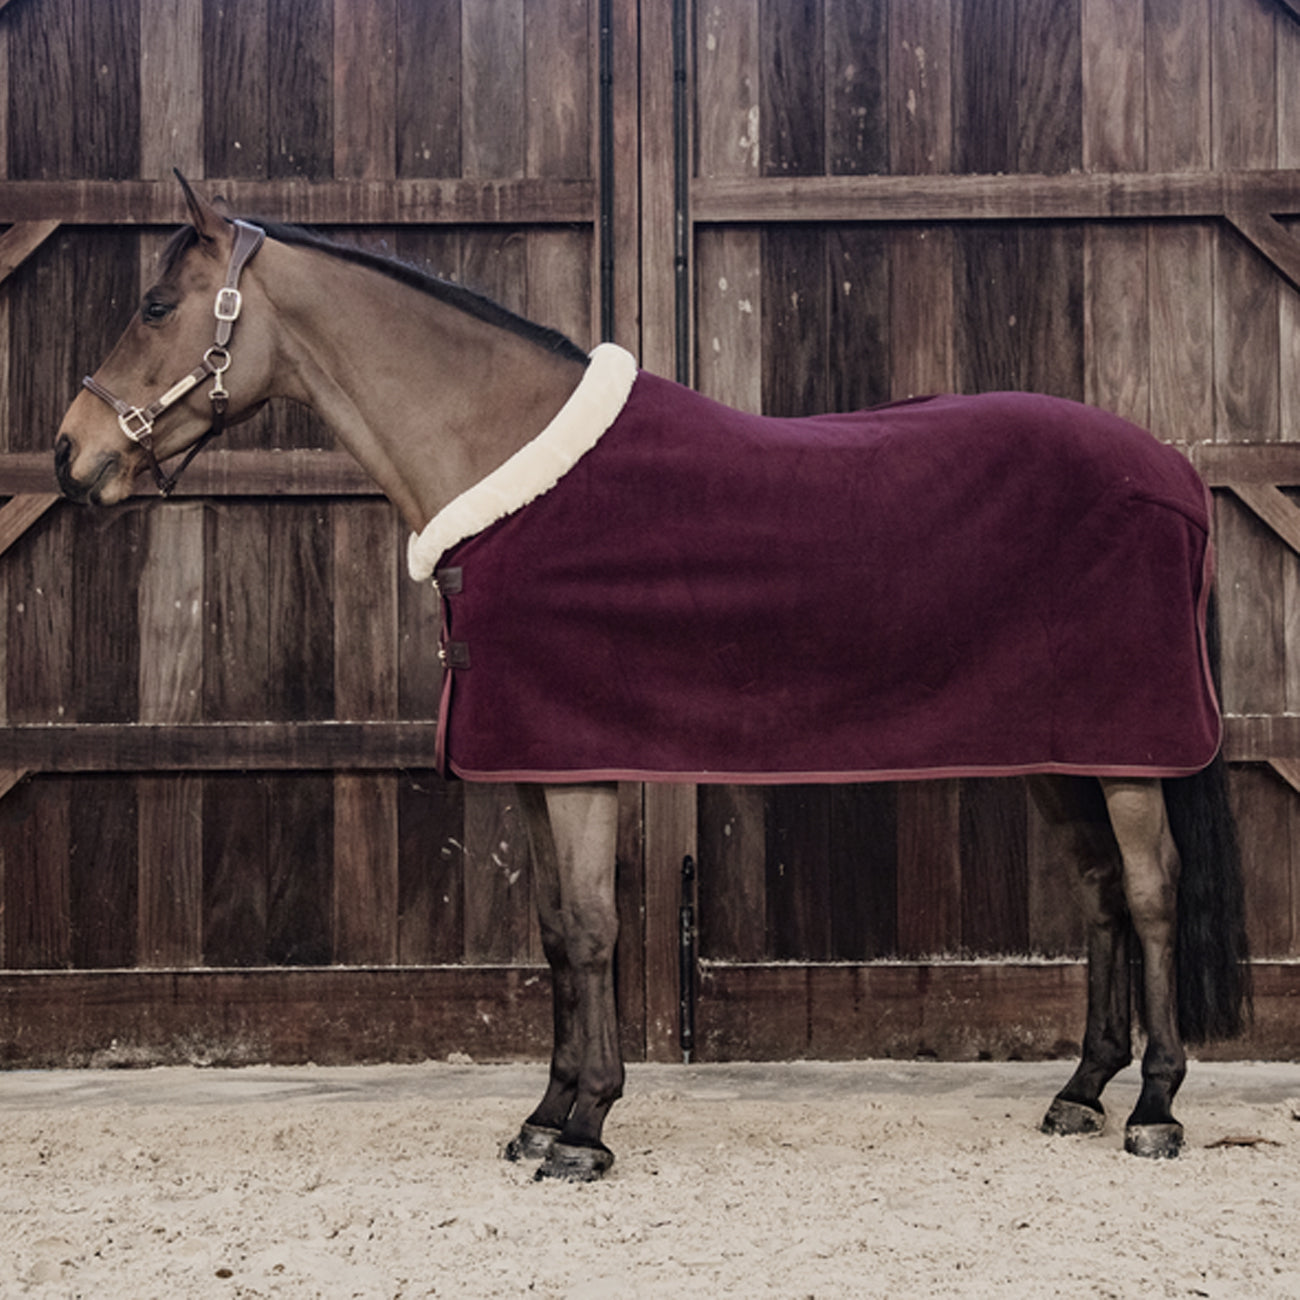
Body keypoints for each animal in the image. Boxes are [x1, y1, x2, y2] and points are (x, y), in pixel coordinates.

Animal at [54, 176, 1250, 1181]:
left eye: (156, 304)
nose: (70, 456)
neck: (511, 468)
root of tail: (1173, 472)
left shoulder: (579, 765)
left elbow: (591, 930)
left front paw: (584, 1130)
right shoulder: (536, 765)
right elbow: (554, 932)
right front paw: (543, 1117)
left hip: (1127, 748)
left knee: (1150, 891)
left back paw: (1155, 1109)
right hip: (1062, 747)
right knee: (1097, 890)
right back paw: (1080, 1091)